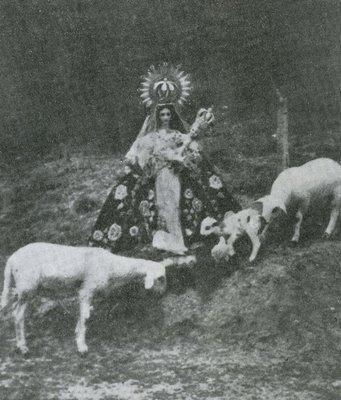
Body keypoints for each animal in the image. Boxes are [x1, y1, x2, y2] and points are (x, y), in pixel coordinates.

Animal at [0, 242, 194, 354]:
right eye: (160, 278)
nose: (163, 293)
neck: (113, 267)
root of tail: (11, 259)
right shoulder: (86, 290)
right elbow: (86, 317)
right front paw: (82, 347)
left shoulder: (84, 292)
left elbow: (83, 316)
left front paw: (77, 335)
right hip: (27, 287)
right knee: (17, 315)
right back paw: (23, 346)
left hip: (21, 288)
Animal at [206, 158, 340, 264]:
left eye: (261, 209)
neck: (285, 189)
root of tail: (335, 163)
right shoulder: (281, 209)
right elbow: (271, 221)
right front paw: (263, 234)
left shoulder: (304, 201)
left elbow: (297, 218)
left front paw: (295, 238)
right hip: (325, 196)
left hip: (336, 195)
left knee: (334, 212)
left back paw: (328, 231)